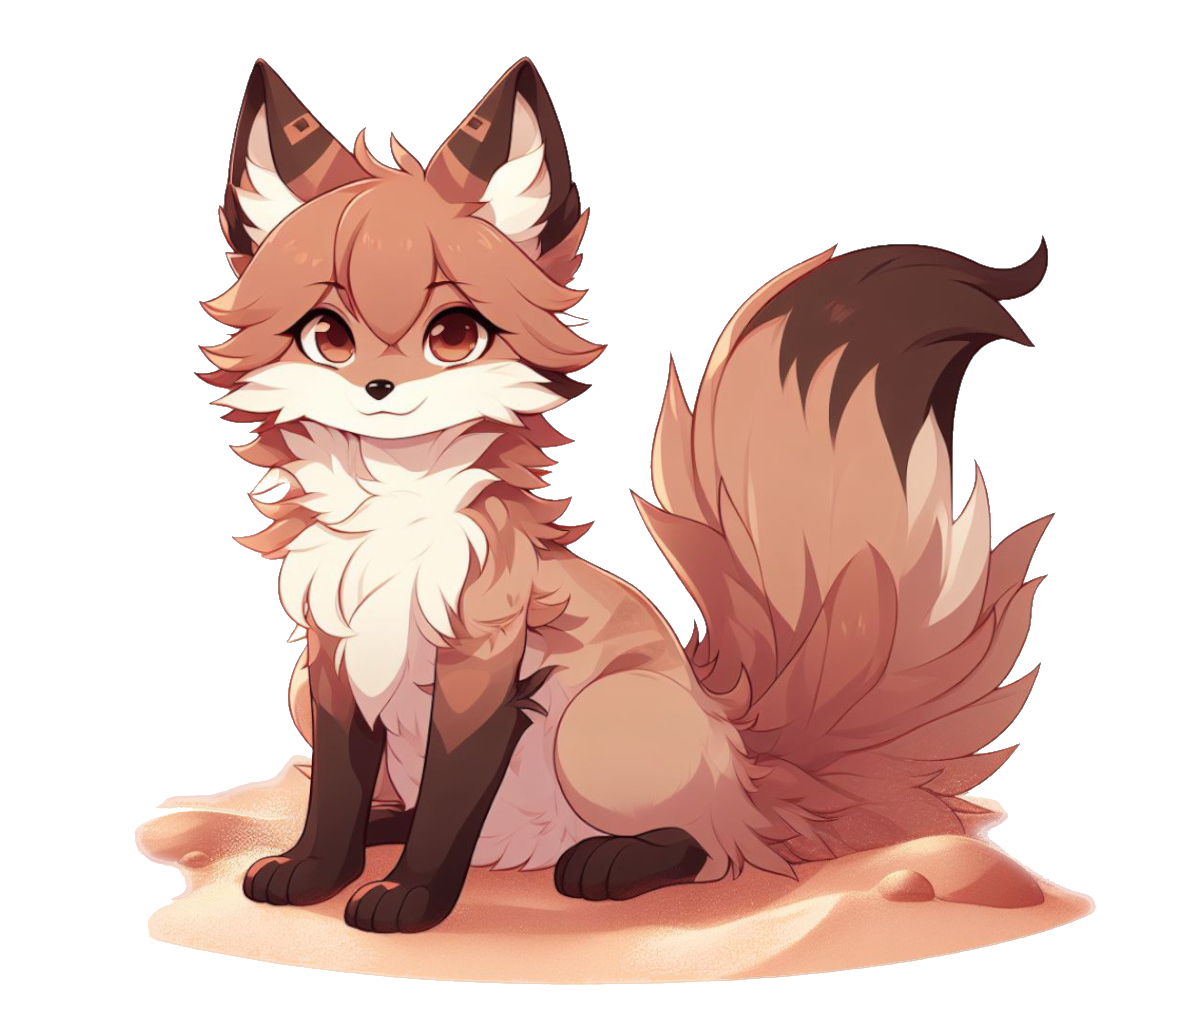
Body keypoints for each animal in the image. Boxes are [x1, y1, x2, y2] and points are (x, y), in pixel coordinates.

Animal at [200, 58, 1049, 935]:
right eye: (327, 336)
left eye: (454, 335)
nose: (377, 389)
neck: (393, 525)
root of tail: (747, 762)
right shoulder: (332, 664)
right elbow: (336, 791)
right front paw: (315, 870)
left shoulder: (482, 661)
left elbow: (448, 800)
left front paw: (413, 897)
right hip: (309, 694)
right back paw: (389, 827)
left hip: (594, 723)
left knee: (709, 851)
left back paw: (606, 863)